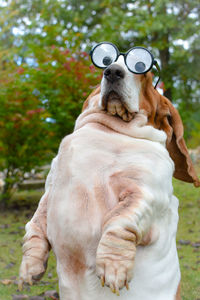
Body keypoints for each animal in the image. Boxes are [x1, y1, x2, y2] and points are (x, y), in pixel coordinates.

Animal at [19, 48, 200, 298]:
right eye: (106, 60)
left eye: (142, 67)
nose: (113, 71)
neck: (114, 129)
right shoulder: (48, 192)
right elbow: (34, 225)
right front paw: (30, 267)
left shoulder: (147, 194)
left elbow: (119, 220)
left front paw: (113, 267)